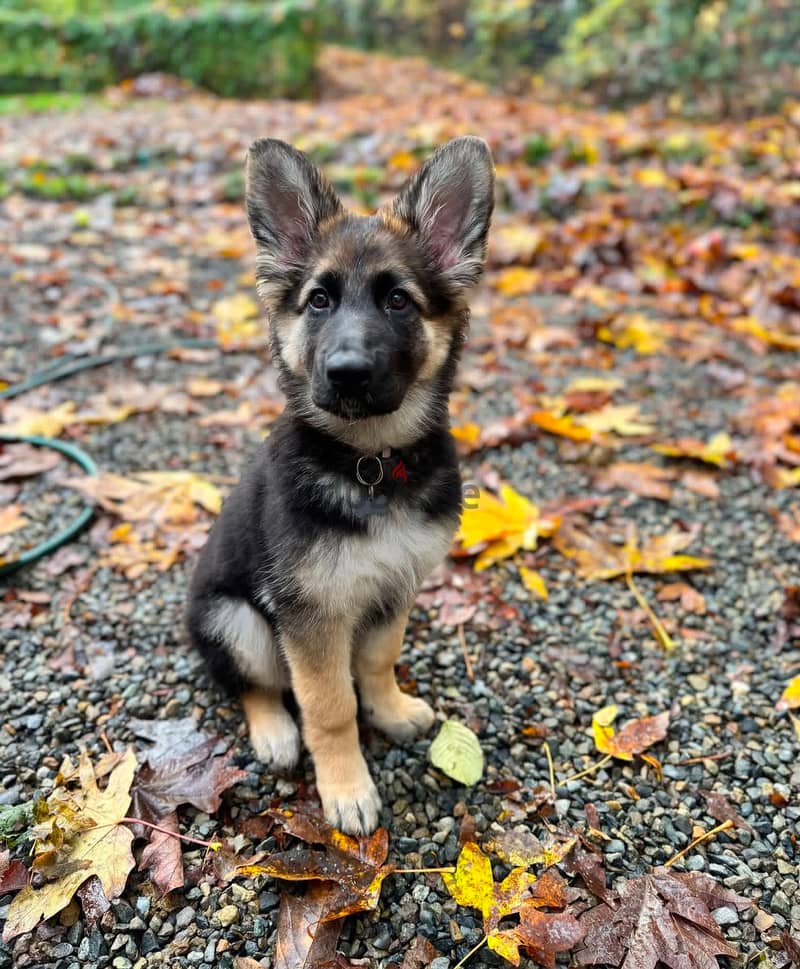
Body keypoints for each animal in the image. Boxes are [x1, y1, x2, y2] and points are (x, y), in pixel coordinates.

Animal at [187, 134, 494, 832]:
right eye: (319, 301)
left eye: (398, 300)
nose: (347, 372)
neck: (371, 464)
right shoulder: (311, 618)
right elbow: (328, 707)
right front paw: (347, 787)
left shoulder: (393, 589)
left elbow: (377, 663)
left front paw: (389, 710)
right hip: (235, 619)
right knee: (255, 685)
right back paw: (274, 731)